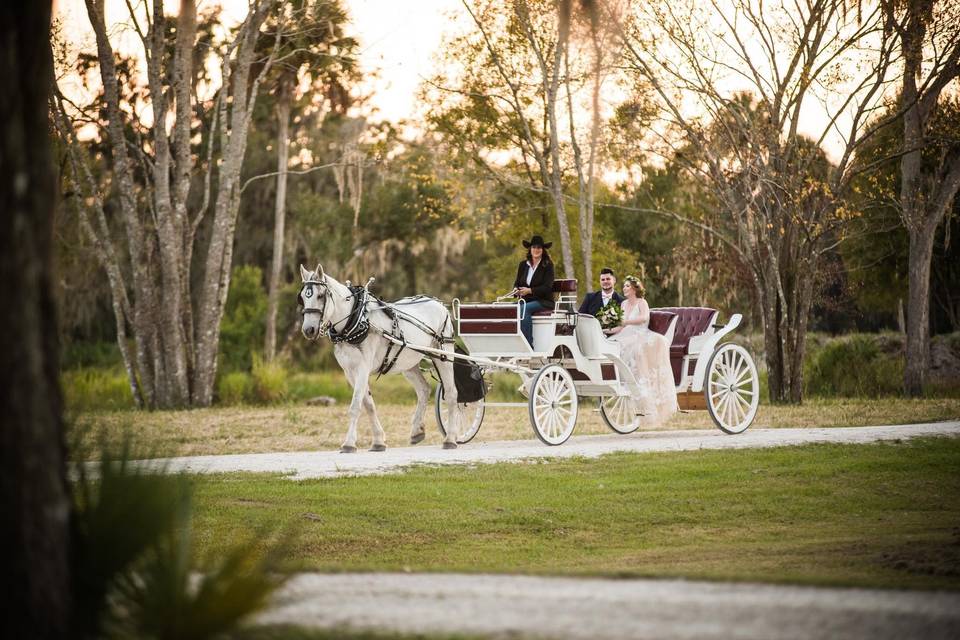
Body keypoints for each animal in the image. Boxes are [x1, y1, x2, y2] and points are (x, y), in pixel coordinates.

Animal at [300, 262, 464, 452]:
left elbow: (356, 405)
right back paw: (417, 431)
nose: (308, 330)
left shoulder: (363, 367)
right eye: (302, 297)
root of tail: (439, 304)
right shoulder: (349, 371)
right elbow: (368, 404)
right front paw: (378, 441)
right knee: (424, 390)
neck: (356, 320)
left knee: (451, 393)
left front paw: (349, 443)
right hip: (408, 363)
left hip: (442, 354)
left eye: (320, 295)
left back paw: (450, 438)